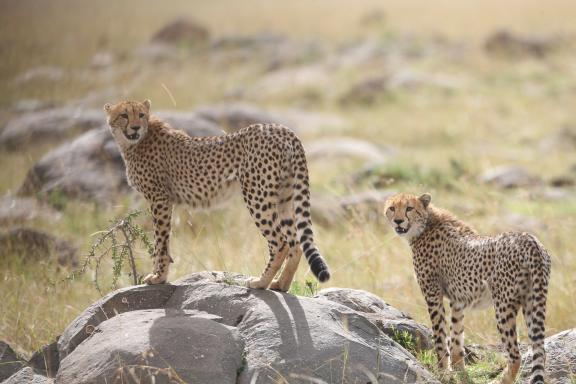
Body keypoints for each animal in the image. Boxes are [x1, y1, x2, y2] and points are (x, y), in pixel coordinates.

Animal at [103, 100, 328, 292]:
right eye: (124, 115)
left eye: (141, 115)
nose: (135, 128)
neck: (135, 142)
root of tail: (281, 128)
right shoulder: (163, 200)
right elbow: (162, 241)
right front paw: (160, 275)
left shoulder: (160, 199)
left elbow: (160, 241)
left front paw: (158, 277)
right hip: (284, 196)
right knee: (295, 244)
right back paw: (280, 284)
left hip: (257, 195)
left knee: (280, 242)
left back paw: (260, 282)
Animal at [384, 192, 552, 384]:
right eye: (392, 208)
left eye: (409, 208)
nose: (398, 221)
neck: (425, 225)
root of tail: (529, 239)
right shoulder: (458, 300)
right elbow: (456, 335)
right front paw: (459, 371)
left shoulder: (433, 294)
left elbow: (440, 336)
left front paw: (443, 372)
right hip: (533, 301)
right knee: (540, 351)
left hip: (504, 305)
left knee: (515, 354)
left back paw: (499, 380)